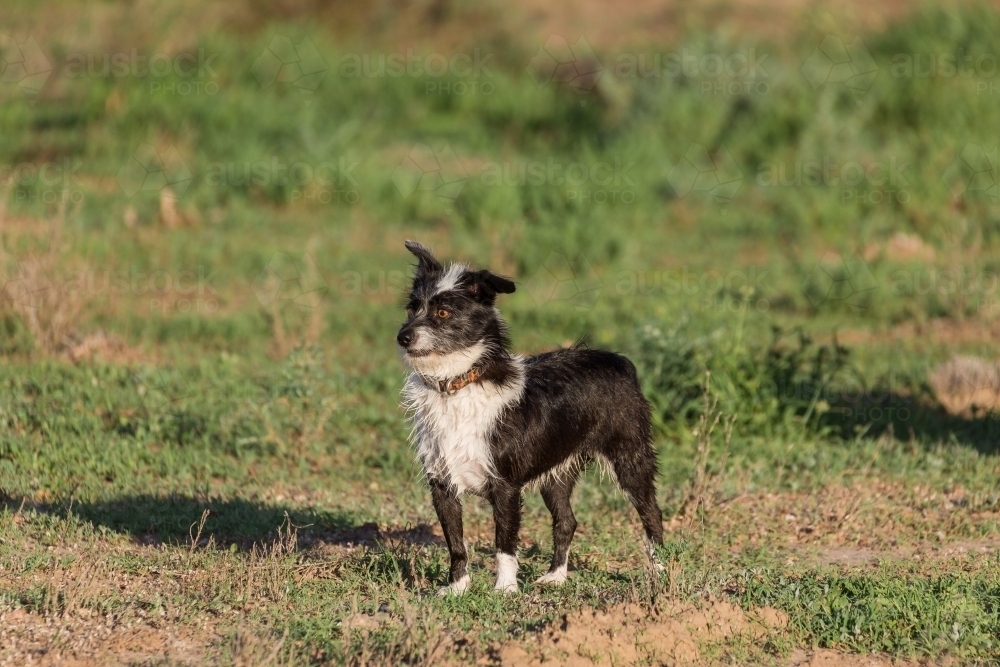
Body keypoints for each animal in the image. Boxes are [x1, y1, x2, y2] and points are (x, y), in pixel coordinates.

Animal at [398, 241, 664, 596]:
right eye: (412, 309)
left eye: (443, 313)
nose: (403, 337)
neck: (457, 384)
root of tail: (619, 361)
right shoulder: (441, 485)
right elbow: (456, 544)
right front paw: (457, 587)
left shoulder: (506, 487)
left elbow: (504, 545)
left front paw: (505, 590)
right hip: (557, 472)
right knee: (566, 521)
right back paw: (556, 575)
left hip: (630, 459)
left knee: (652, 515)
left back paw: (659, 572)